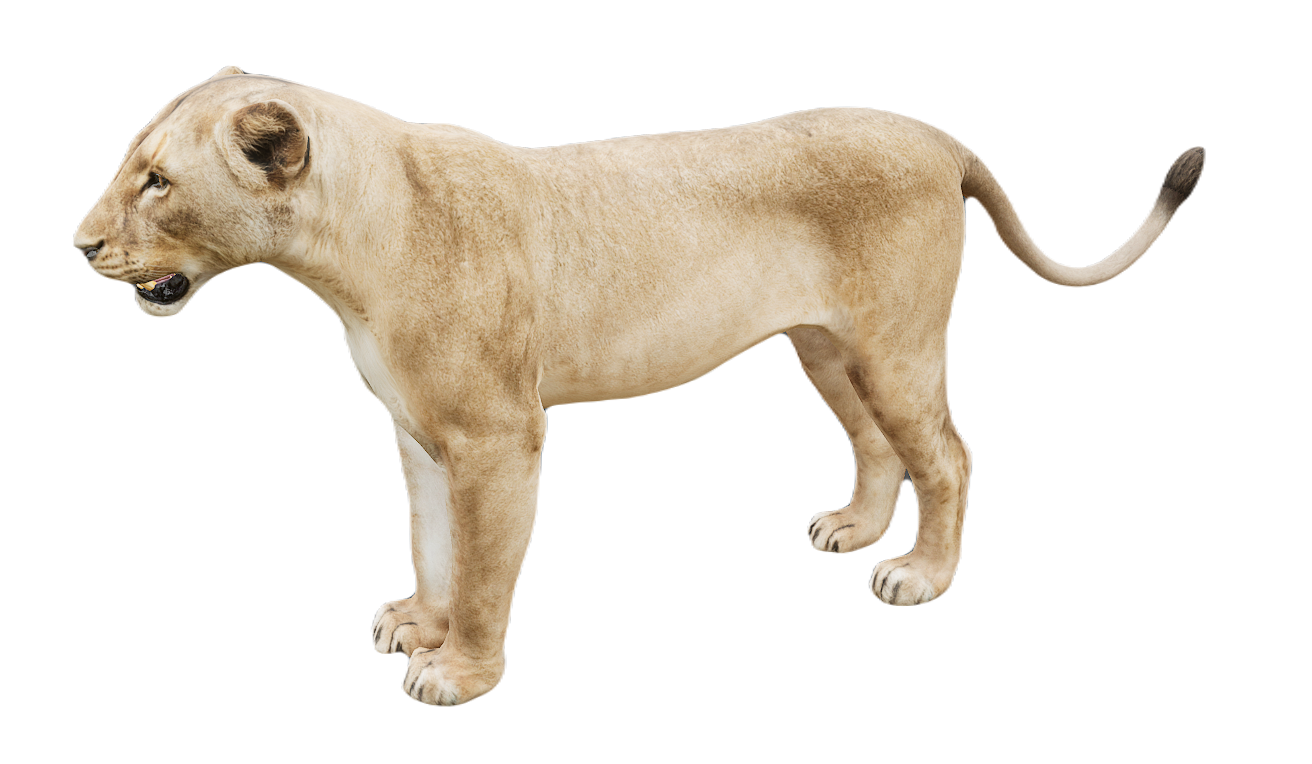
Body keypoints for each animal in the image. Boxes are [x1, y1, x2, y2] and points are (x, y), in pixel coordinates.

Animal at [73, 65, 1205, 706]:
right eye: (133, 164)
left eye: (158, 181)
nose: (80, 245)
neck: (349, 252)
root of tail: (938, 136)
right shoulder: (417, 432)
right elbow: (433, 544)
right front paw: (418, 621)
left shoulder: (499, 438)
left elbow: (486, 568)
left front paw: (458, 671)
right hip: (825, 346)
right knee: (878, 444)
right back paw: (852, 530)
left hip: (896, 344)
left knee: (951, 453)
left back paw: (920, 574)